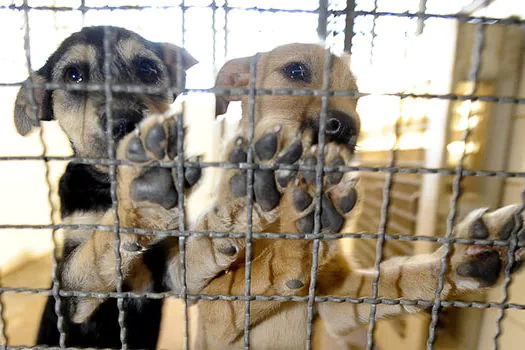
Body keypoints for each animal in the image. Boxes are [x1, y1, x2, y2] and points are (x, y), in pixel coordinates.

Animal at [182, 43, 524, 348]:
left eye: (356, 96)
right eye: (296, 71)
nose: (347, 129)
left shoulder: (337, 303)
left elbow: (396, 278)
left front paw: (463, 258)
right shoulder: (215, 306)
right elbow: (265, 263)